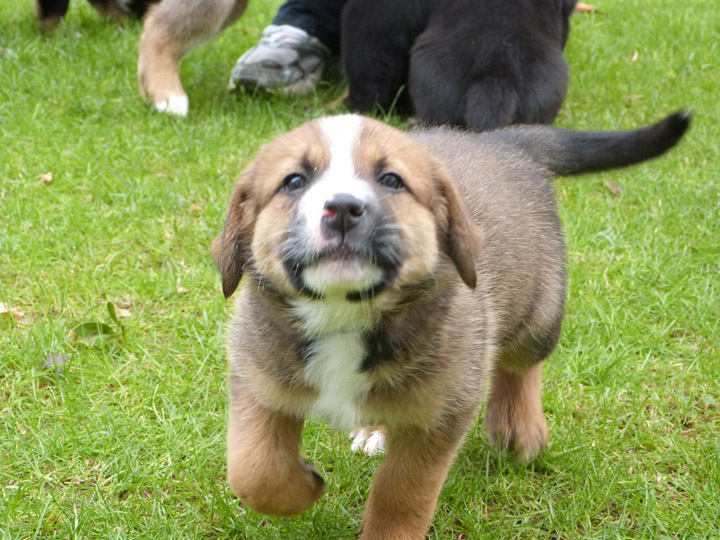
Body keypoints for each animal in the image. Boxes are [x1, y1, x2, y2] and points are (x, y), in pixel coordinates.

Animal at [215, 112, 692, 536]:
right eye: (294, 181)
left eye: (392, 180)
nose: (345, 208)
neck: (344, 315)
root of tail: (505, 140)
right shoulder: (257, 377)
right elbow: (253, 469)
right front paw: (302, 488)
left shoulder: (446, 409)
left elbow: (402, 492)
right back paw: (376, 429)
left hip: (540, 306)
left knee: (522, 363)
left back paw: (518, 428)